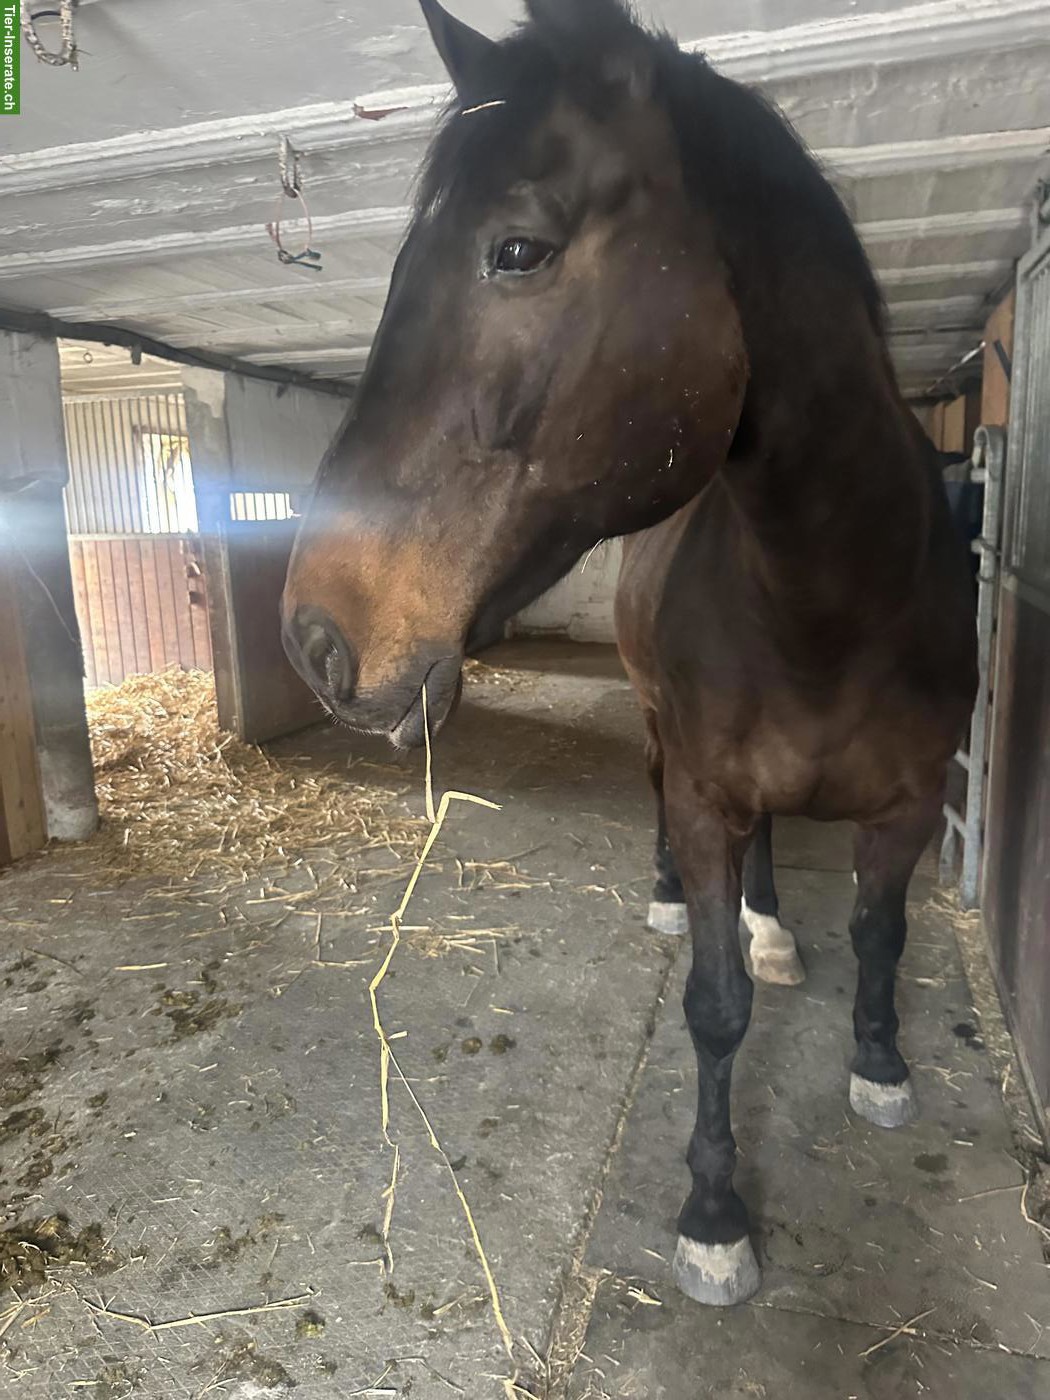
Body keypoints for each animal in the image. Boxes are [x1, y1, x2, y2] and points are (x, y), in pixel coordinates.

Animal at [282, 0, 978, 1307]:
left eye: (517, 249)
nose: (313, 635)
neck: (832, 603)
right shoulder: (706, 792)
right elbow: (715, 1004)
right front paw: (714, 1214)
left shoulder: (914, 802)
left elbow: (883, 934)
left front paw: (880, 1061)